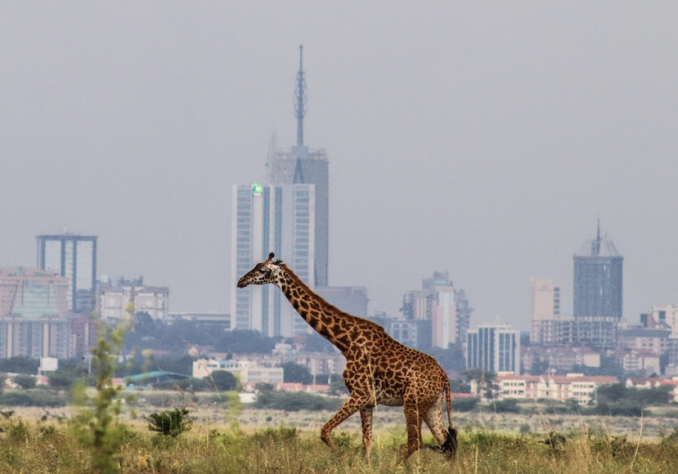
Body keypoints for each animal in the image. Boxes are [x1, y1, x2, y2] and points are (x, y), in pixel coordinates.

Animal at [236, 254, 460, 462]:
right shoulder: (368, 401)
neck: (345, 343)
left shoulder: (360, 394)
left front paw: (341, 458)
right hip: (432, 405)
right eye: (256, 265)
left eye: (262, 270)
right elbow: (367, 444)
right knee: (446, 442)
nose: (241, 281)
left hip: (412, 402)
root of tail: (443, 377)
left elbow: (325, 431)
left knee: (416, 441)